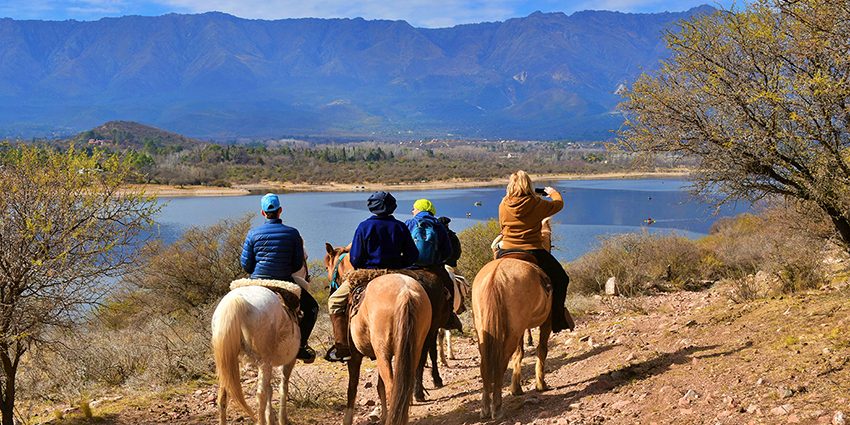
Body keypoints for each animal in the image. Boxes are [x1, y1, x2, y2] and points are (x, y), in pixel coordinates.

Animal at [324, 243, 452, 403]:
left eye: (326, 267)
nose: (330, 289)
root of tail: (406, 294)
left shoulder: (355, 355)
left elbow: (353, 388)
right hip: (423, 335)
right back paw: (421, 391)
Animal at [473, 218, 554, 420]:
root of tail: (496, 276)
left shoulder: (519, 328)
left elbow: (520, 353)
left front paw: (516, 388)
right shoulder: (546, 322)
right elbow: (542, 349)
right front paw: (541, 384)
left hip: (485, 330)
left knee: (485, 365)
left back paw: (485, 408)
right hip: (512, 331)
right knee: (500, 363)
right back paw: (497, 407)